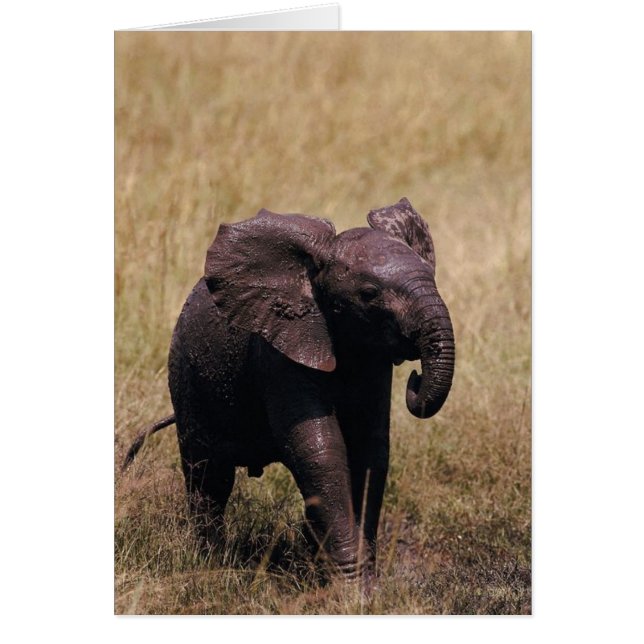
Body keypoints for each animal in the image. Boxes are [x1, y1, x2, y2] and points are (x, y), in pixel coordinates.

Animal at [122, 197, 455, 580]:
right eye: (369, 294)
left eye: (432, 276)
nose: (415, 379)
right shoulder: (278, 352)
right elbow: (320, 449)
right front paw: (351, 586)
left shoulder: (372, 359)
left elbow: (369, 448)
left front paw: (361, 580)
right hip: (186, 375)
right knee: (208, 476)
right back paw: (210, 564)